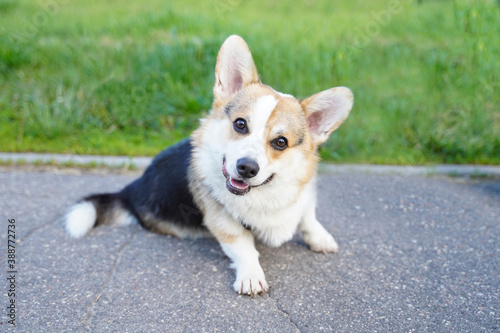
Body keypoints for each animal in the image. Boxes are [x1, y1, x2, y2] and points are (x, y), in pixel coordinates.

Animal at [64, 35, 354, 294]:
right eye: (240, 124)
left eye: (281, 142)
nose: (247, 168)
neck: (264, 194)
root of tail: (130, 190)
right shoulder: (223, 220)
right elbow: (243, 246)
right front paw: (251, 276)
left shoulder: (304, 194)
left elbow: (307, 217)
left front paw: (320, 238)